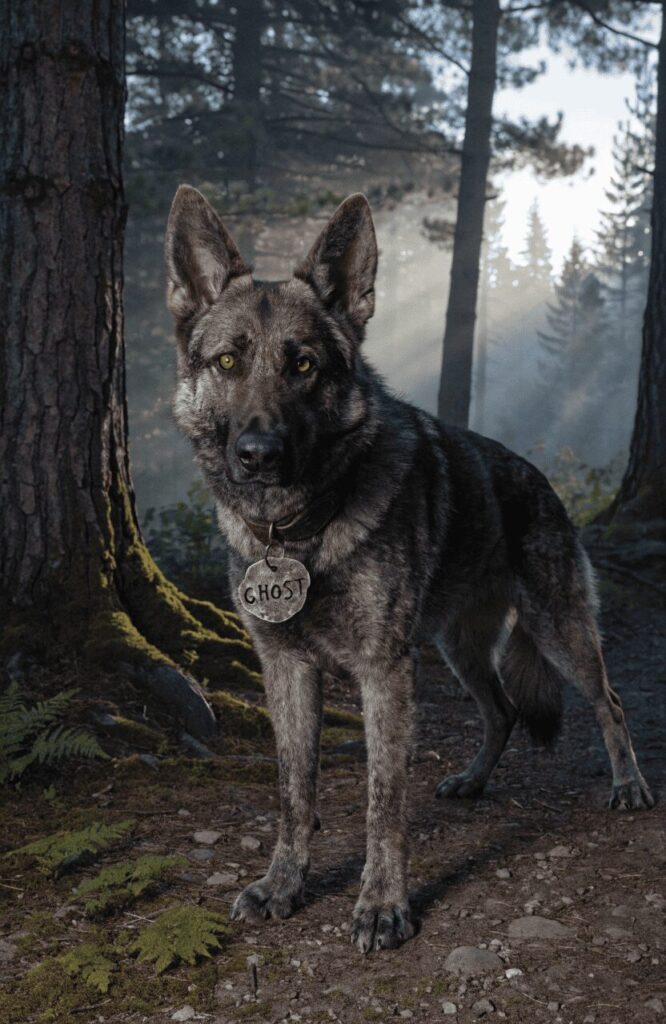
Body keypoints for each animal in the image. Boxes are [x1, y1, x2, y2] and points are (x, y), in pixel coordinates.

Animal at [164, 186, 654, 953]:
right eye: (227, 363)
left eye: (303, 366)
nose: (258, 454)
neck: (300, 532)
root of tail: (537, 478)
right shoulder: (286, 670)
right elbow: (293, 792)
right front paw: (284, 883)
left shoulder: (384, 672)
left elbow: (383, 802)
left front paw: (382, 904)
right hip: (458, 648)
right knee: (503, 710)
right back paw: (474, 781)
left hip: (559, 631)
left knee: (609, 701)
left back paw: (628, 785)